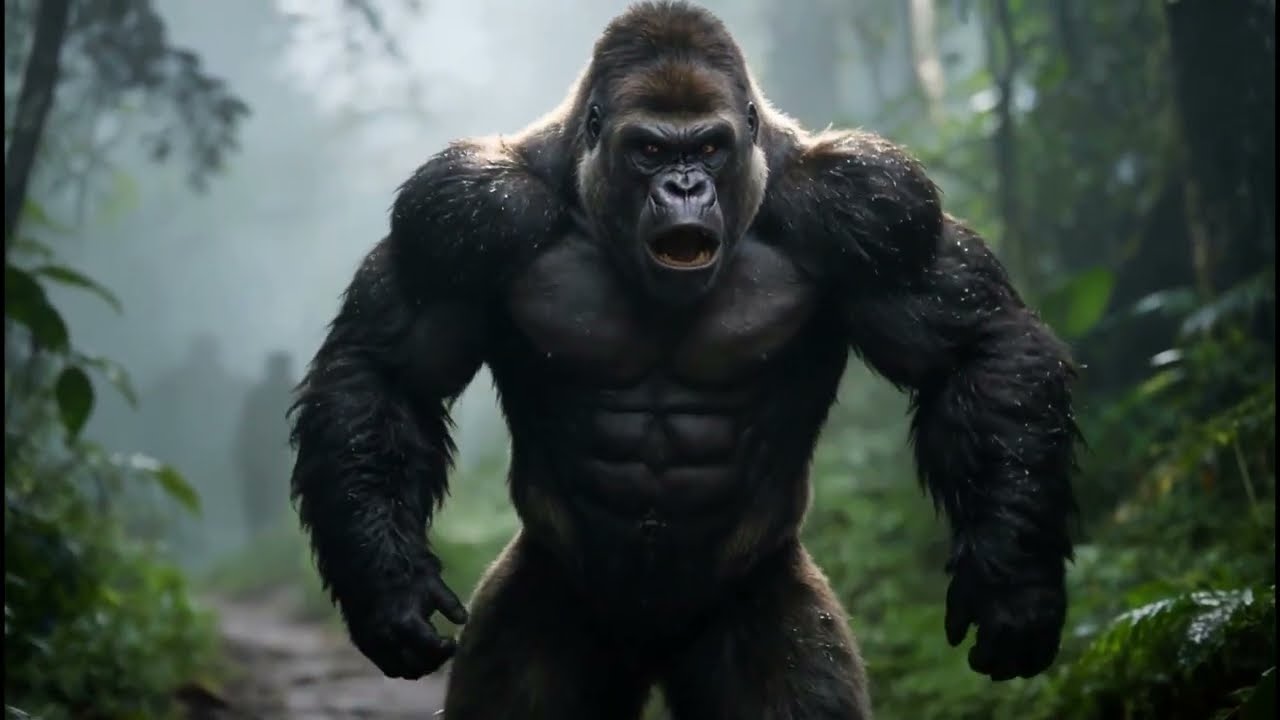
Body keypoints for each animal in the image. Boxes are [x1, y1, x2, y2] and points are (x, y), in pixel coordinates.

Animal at [287, 3, 1080, 718]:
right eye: (651, 150)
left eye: (707, 149)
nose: (685, 187)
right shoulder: (459, 210)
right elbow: (385, 373)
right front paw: (388, 587)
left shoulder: (873, 203)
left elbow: (977, 348)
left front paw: (1013, 585)